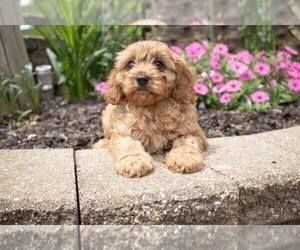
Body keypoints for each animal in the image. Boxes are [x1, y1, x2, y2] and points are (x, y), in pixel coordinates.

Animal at [92, 40, 207, 178]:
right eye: (130, 63)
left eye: (159, 63)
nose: (141, 78)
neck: (151, 107)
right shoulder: (123, 131)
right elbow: (127, 144)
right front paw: (133, 161)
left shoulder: (193, 132)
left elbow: (186, 141)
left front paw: (185, 157)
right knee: (108, 137)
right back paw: (102, 144)